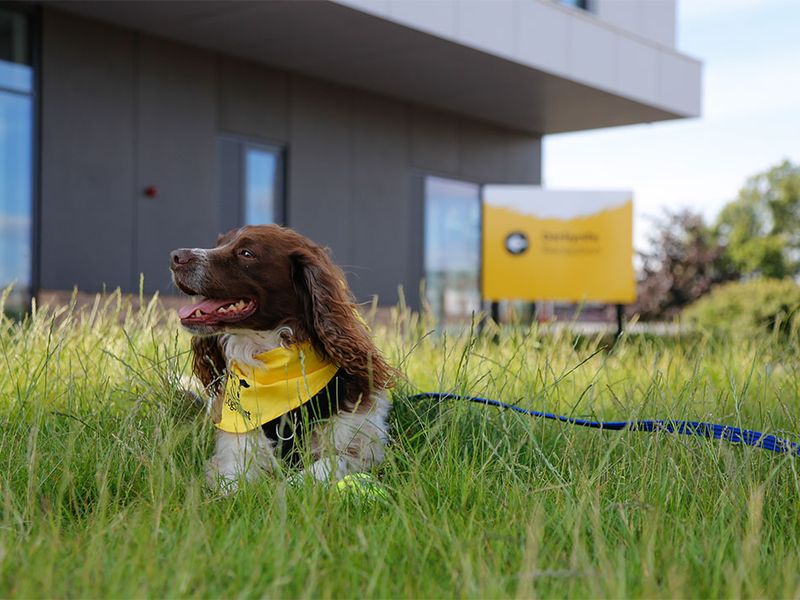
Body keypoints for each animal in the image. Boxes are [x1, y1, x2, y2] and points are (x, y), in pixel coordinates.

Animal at [172, 223, 394, 490]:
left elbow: (328, 464)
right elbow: (234, 483)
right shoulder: (236, 448)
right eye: (218, 244)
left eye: (246, 253)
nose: (175, 256)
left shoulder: (361, 446)